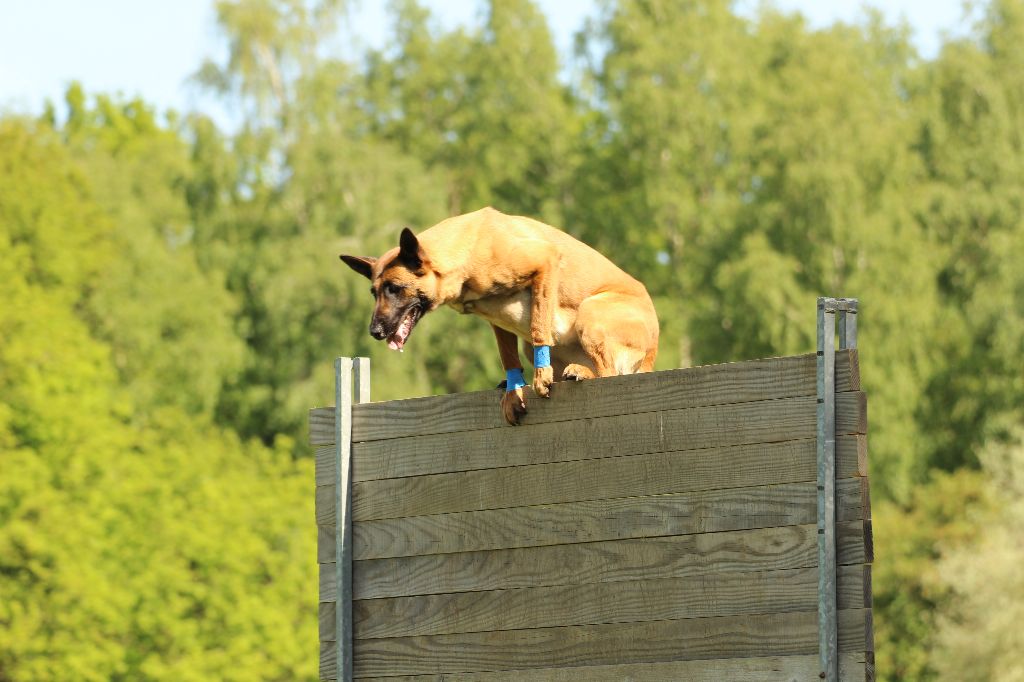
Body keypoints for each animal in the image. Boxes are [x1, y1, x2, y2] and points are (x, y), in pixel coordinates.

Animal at [339, 204, 659, 421]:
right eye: (374, 293)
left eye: (394, 288)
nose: (375, 332)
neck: (465, 253)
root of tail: (653, 347)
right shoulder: (498, 321)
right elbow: (508, 357)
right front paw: (513, 392)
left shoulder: (544, 264)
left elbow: (539, 328)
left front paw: (541, 377)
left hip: (589, 313)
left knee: (609, 373)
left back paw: (580, 372)